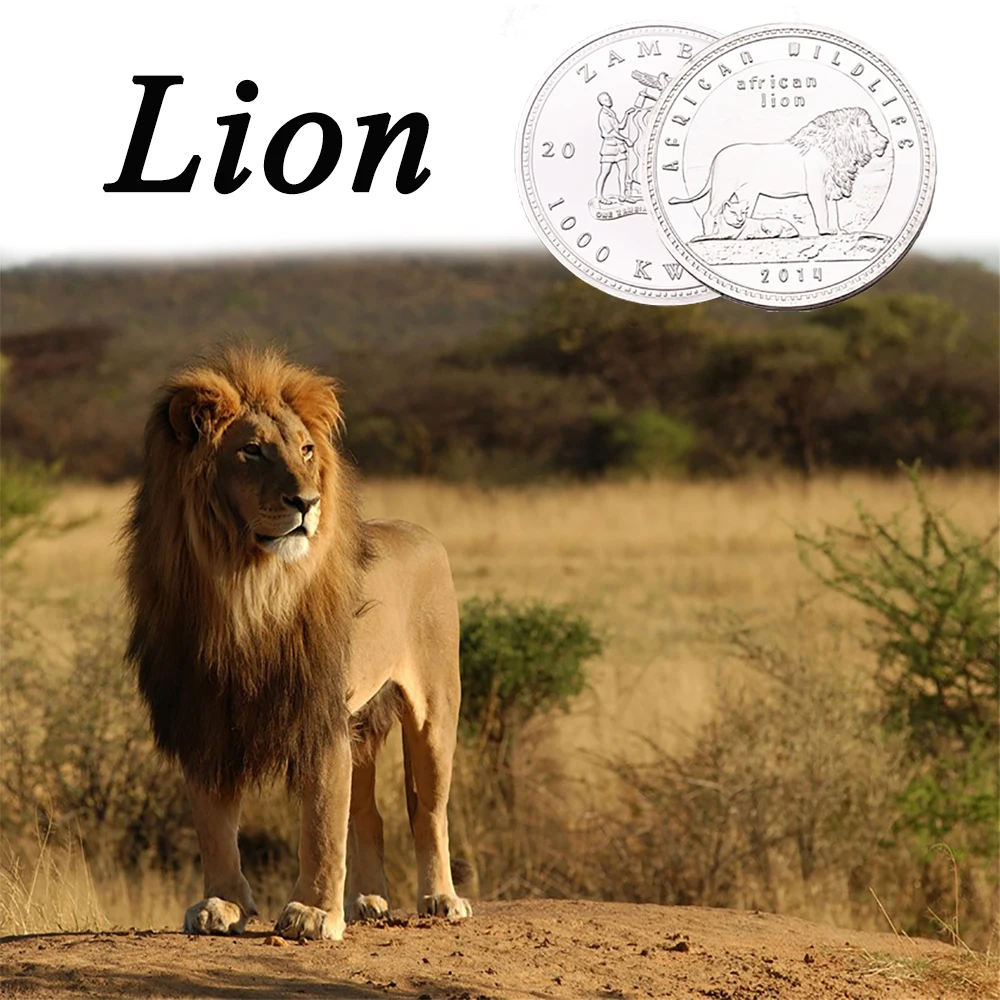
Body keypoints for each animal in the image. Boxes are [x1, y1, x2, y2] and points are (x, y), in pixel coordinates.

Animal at [123, 345, 471, 941]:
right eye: (252, 451)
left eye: (307, 450)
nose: (306, 502)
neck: (246, 588)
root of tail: (421, 532)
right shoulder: (204, 715)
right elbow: (214, 823)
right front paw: (222, 904)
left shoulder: (318, 713)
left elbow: (322, 823)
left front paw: (312, 913)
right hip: (362, 723)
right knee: (370, 814)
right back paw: (368, 901)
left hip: (435, 710)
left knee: (428, 810)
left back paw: (441, 898)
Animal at [668, 107, 889, 238]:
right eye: (872, 131)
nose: (887, 141)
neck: (839, 151)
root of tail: (717, 156)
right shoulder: (816, 187)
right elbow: (822, 211)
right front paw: (825, 231)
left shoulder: (832, 185)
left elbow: (834, 212)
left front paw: (840, 231)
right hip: (724, 188)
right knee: (709, 213)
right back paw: (709, 236)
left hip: (746, 193)